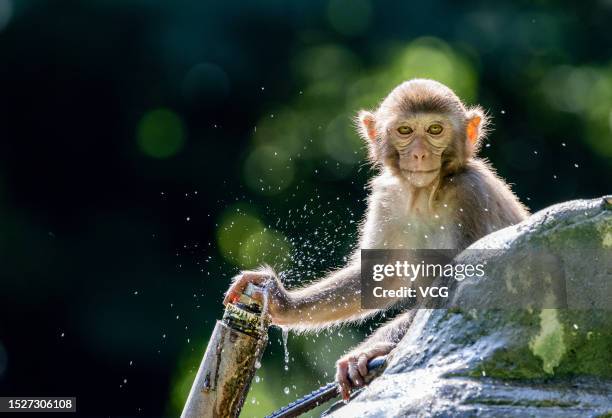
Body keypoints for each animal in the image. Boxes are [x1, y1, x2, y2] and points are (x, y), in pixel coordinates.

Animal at [222, 79, 528, 402]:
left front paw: (369, 351)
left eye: (435, 129)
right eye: (405, 131)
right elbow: (379, 278)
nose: (419, 154)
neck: (426, 193)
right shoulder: (387, 197)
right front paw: (282, 302)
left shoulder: (470, 195)